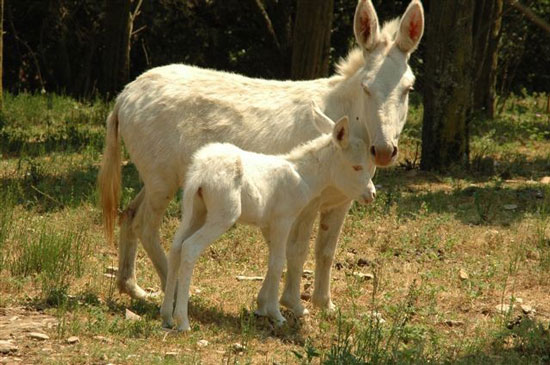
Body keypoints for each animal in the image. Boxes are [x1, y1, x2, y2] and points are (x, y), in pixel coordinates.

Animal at [160, 106, 376, 330]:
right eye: (356, 166)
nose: (372, 195)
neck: (303, 175)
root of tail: (201, 174)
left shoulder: (267, 223)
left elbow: (274, 259)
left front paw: (264, 307)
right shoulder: (283, 219)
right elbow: (279, 261)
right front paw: (276, 314)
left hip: (195, 211)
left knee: (176, 248)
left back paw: (167, 316)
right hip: (222, 216)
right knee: (190, 248)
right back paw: (183, 321)